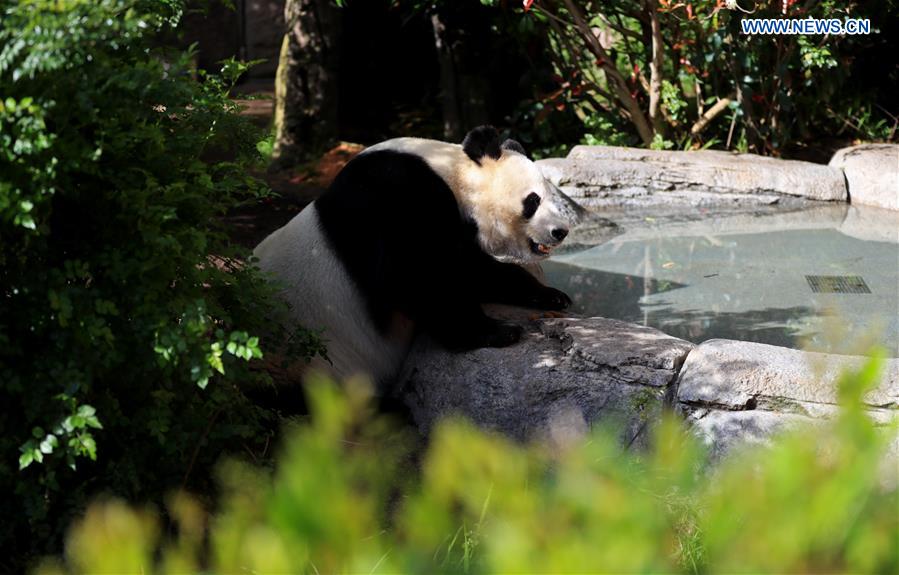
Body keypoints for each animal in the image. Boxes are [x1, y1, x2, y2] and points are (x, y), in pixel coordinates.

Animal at [253, 125, 584, 386]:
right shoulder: (398, 196)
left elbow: (473, 268)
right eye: (533, 201)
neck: (451, 173)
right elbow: (414, 277)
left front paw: (551, 295)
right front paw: (497, 332)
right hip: (309, 360)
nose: (560, 231)